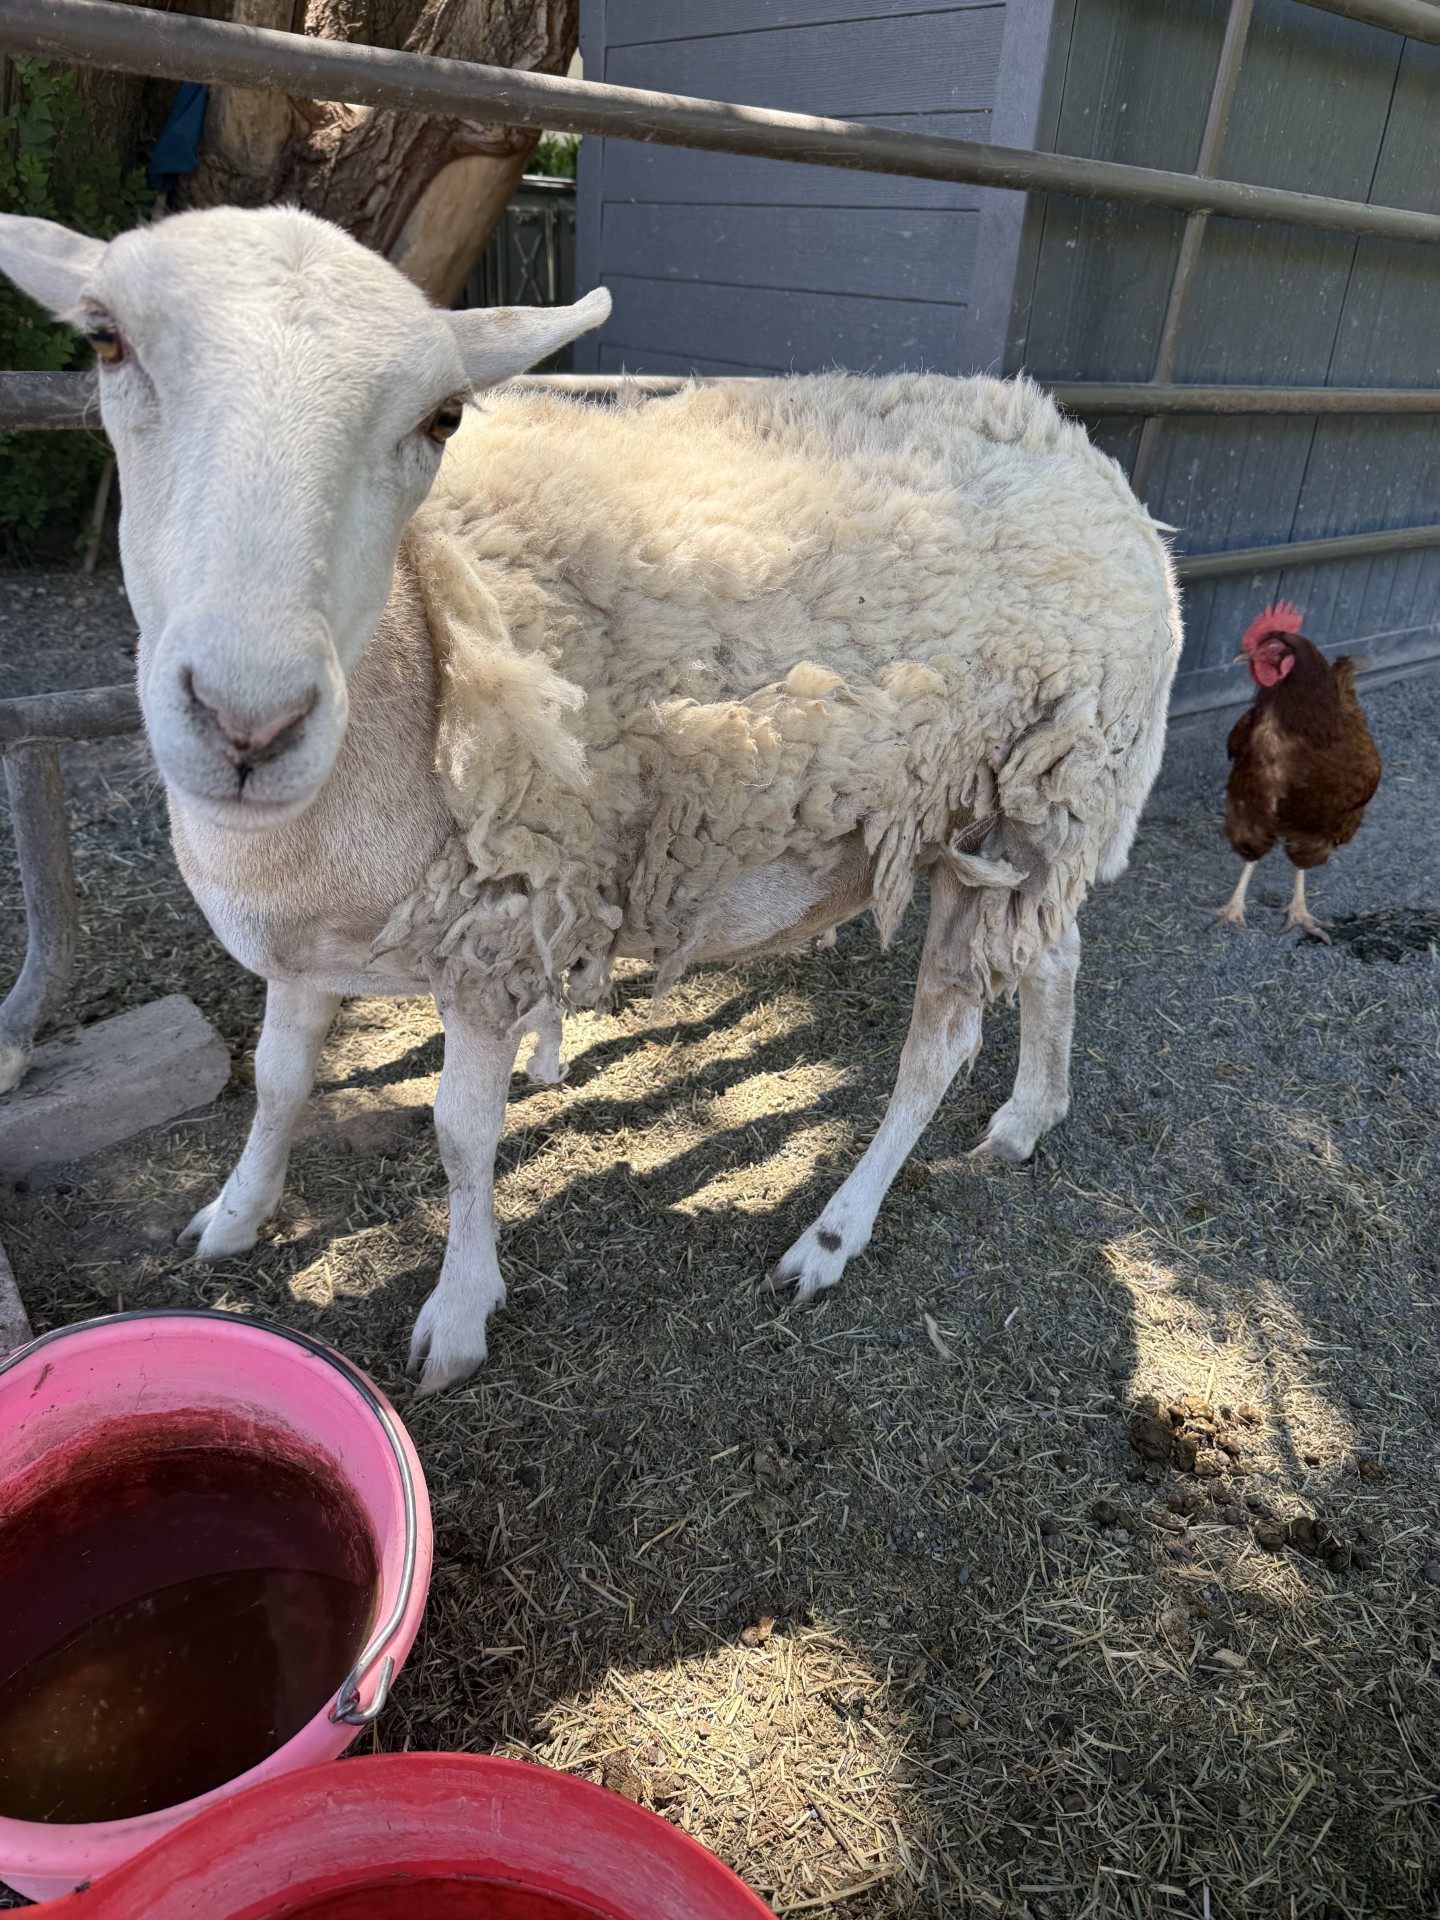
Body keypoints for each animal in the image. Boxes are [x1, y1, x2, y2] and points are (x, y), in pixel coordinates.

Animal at [0, 205, 1182, 1391]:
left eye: (442, 415)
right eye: (105, 342)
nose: (250, 720)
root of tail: (1080, 451)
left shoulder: (494, 931)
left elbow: (460, 1134)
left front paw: (458, 1314)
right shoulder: (307, 942)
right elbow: (279, 1080)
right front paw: (235, 1217)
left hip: (1022, 799)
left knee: (936, 1047)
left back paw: (833, 1236)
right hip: (1031, 816)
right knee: (1056, 955)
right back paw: (1029, 1116)